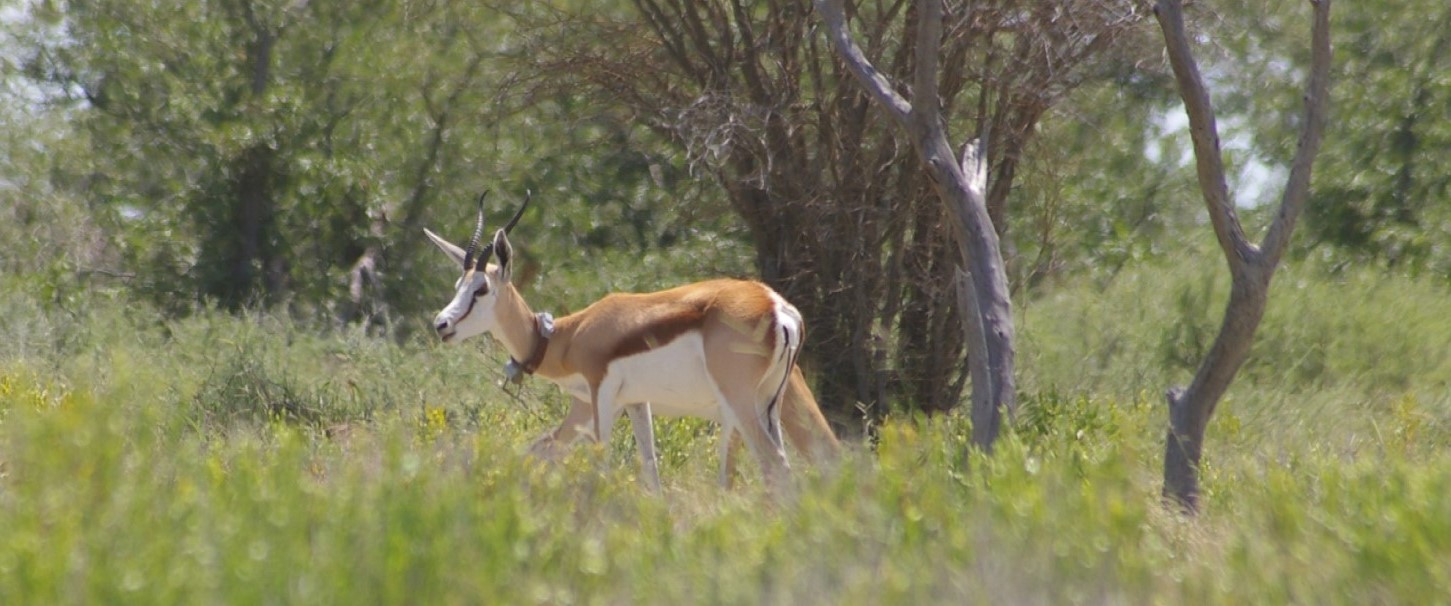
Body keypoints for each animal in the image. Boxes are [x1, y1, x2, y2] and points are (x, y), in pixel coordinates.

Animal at [424, 192, 840, 491]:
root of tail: (777, 307)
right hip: (768, 403)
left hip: (739, 403)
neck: (568, 337)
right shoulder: (633, 403)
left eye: (481, 289)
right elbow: (648, 472)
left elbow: (600, 464)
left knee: (776, 465)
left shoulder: (599, 396)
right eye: (458, 285)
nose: (441, 324)